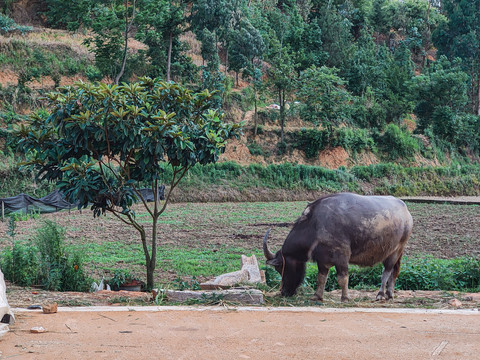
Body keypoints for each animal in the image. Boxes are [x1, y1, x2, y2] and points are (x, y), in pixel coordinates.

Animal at [262, 194, 412, 300]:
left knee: (386, 272)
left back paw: (380, 294)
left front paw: (345, 297)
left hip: (395, 250)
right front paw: (317, 296)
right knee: (394, 271)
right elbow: (321, 278)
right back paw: (390, 294)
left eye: (280, 267)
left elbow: (342, 277)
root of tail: (406, 211)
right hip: (397, 252)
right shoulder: (322, 260)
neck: (315, 225)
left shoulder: (342, 256)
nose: (284, 292)